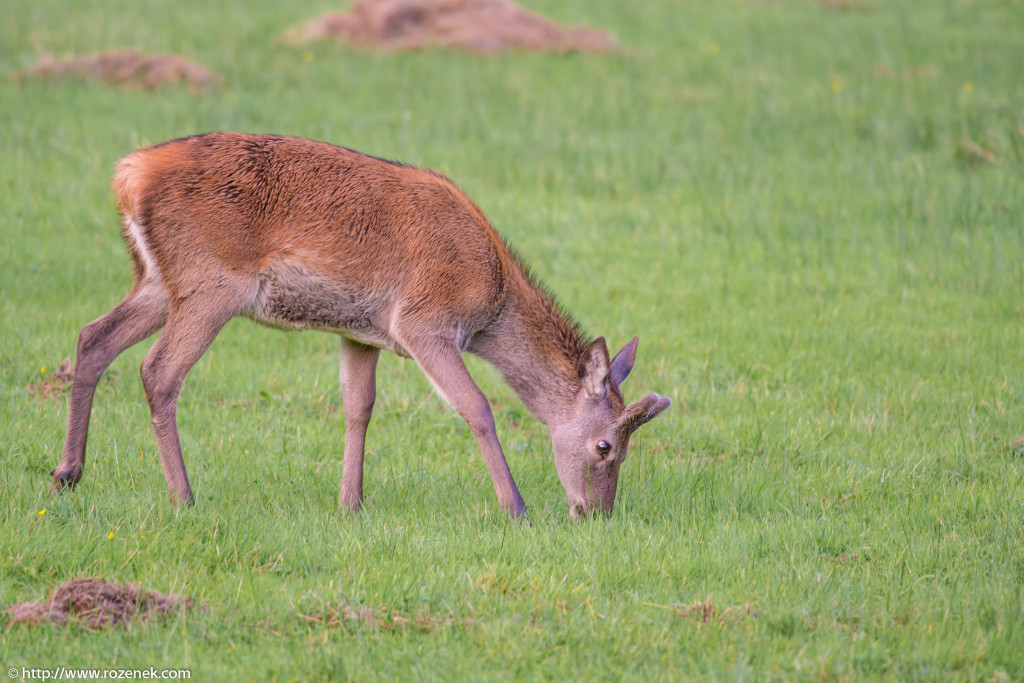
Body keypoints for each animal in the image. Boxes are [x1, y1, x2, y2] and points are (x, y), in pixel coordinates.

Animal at [49, 133, 671, 518]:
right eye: (606, 446)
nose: (595, 513)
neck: (491, 302)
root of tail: (128, 177)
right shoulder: (423, 321)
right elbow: (476, 407)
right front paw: (515, 508)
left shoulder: (359, 331)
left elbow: (359, 408)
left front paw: (351, 502)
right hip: (210, 283)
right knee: (158, 371)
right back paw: (183, 496)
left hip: (159, 280)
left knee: (93, 336)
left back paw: (68, 472)